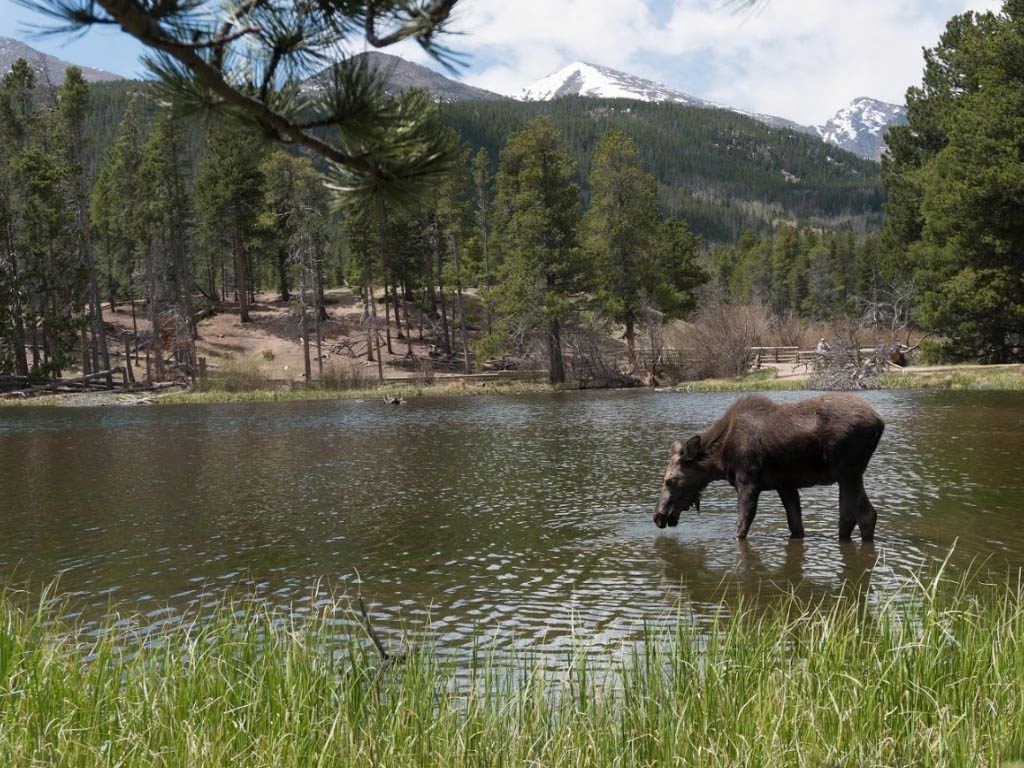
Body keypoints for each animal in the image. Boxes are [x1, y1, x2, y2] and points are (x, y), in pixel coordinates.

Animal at [655, 397, 880, 540]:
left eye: (669, 480)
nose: (658, 516)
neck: (719, 460)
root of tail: (880, 422)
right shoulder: (785, 485)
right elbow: (795, 525)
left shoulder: (748, 482)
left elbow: (742, 525)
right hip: (846, 477)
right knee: (848, 518)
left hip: (849, 473)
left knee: (866, 515)